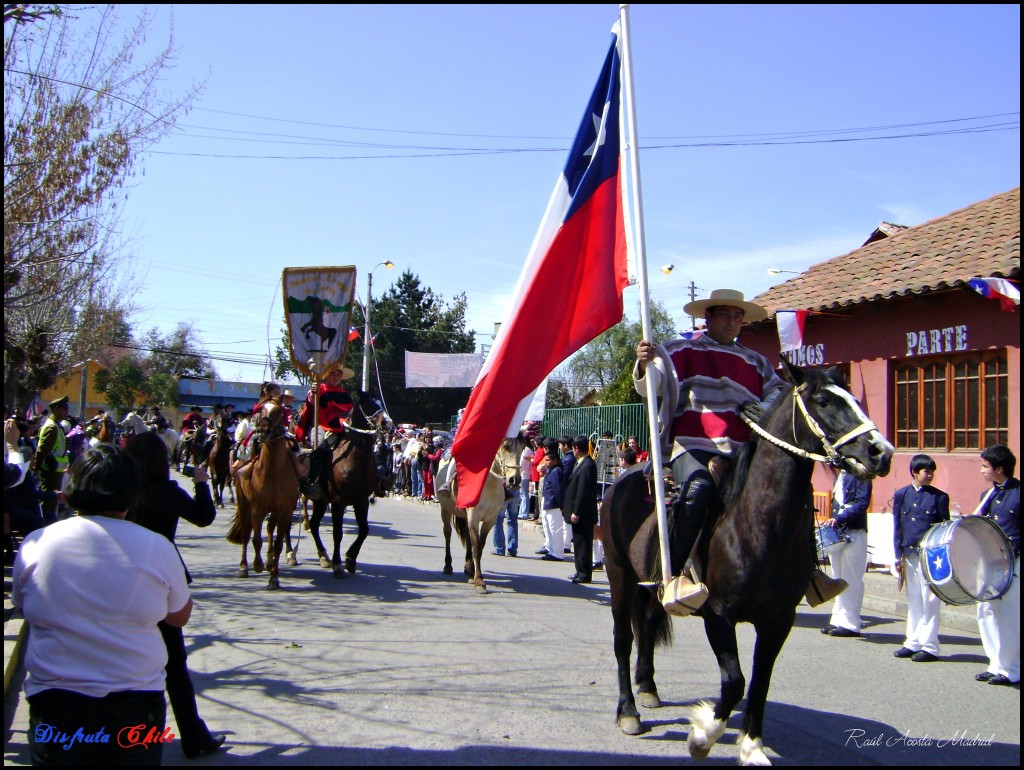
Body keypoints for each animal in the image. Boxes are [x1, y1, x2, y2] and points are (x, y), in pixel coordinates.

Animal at [226, 405, 299, 593]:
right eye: (261, 410)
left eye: (278, 411)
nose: (263, 431)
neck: (273, 470)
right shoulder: (257, 508)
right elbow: (256, 539)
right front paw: (256, 565)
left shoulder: (284, 511)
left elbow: (279, 543)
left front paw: (274, 577)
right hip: (243, 503)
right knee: (246, 533)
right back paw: (244, 567)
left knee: (269, 528)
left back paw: (269, 560)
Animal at [305, 391, 389, 577]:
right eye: (368, 403)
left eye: (381, 402)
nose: (387, 423)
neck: (355, 459)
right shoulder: (338, 502)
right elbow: (338, 533)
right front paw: (338, 564)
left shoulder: (361, 501)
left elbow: (364, 530)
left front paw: (351, 559)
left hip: (321, 501)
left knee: (314, 525)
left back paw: (323, 557)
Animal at [436, 434, 532, 593]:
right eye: (506, 447)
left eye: (523, 448)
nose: (515, 480)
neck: (488, 484)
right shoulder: (473, 517)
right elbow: (476, 547)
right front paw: (479, 581)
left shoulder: (489, 520)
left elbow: (479, 546)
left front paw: (474, 575)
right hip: (446, 510)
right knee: (447, 533)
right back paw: (448, 565)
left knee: (467, 538)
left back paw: (468, 568)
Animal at [602, 360, 892, 765]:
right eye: (822, 401)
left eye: (852, 396)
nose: (881, 452)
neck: (759, 524)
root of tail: (621, 480)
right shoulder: (718, 615)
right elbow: (735, 681)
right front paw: (702, 736)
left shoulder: (778, 620)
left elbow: (760, 682)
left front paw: (752, 746)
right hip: (619, 576)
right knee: (622, 640)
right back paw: (628, 710)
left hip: (649, 585)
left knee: (645, 625)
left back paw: (648, 687)